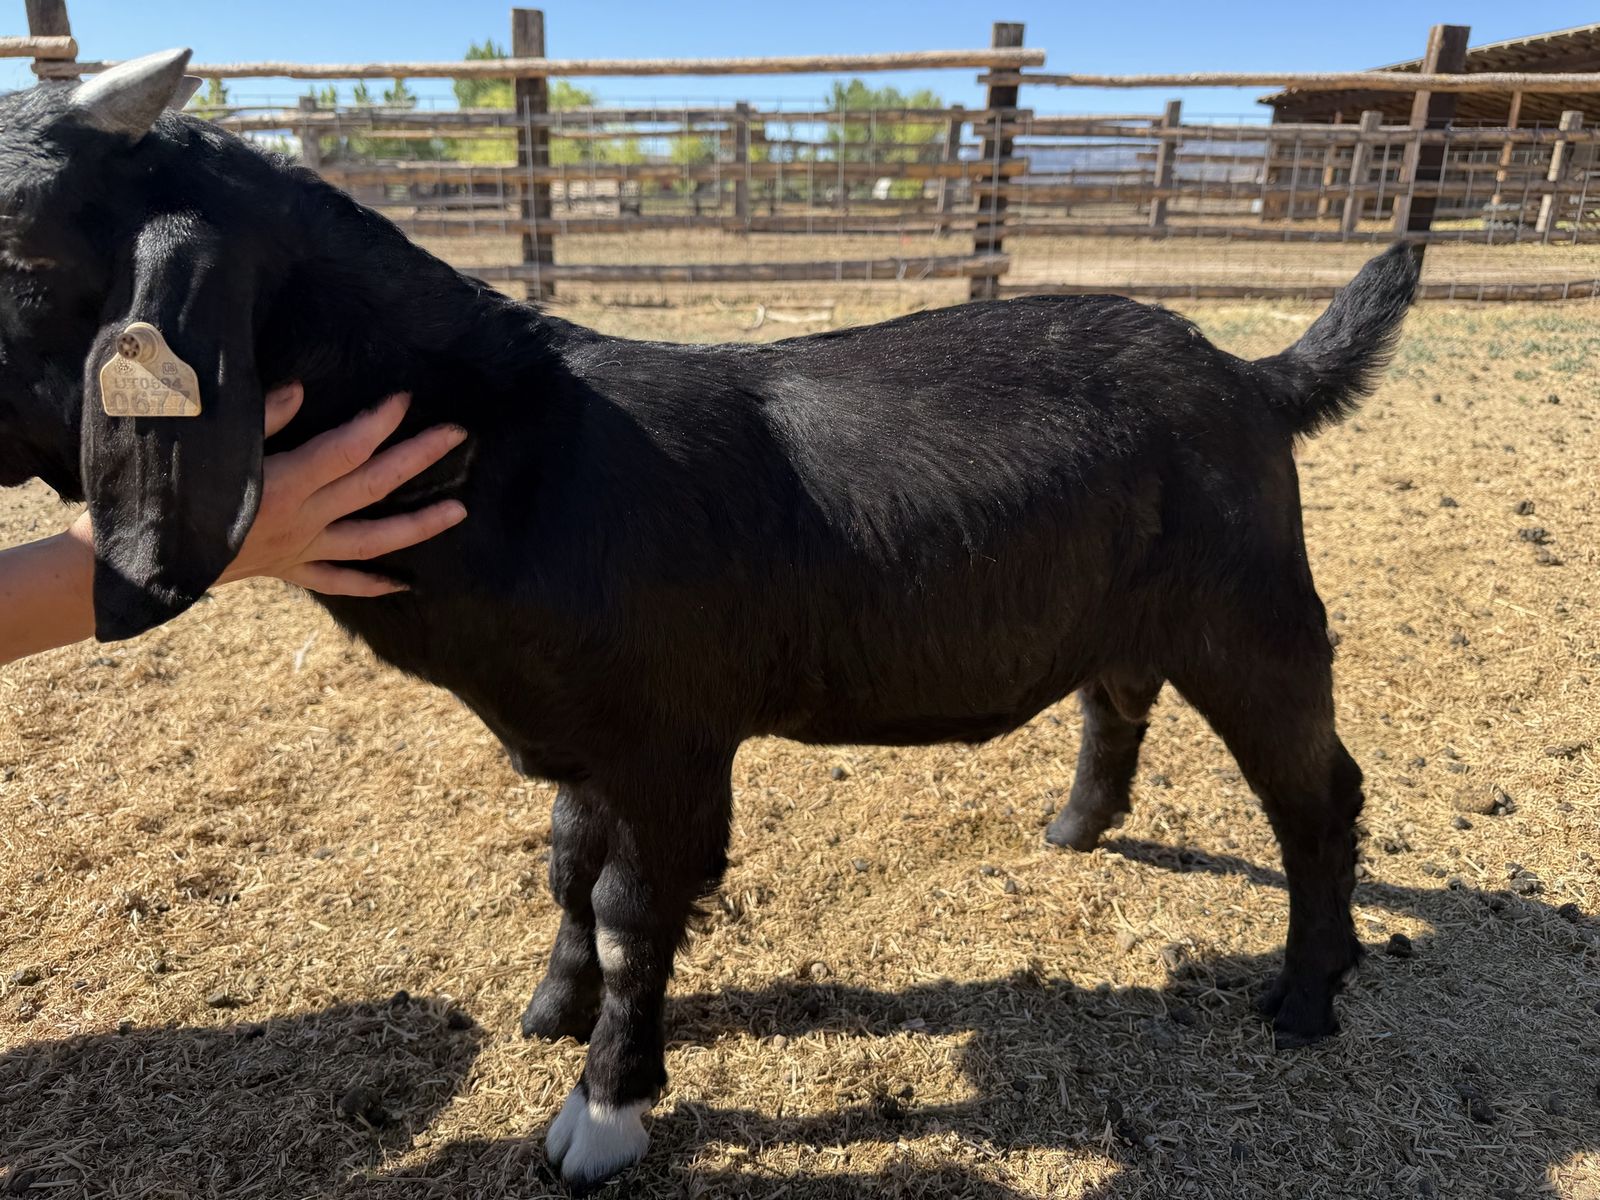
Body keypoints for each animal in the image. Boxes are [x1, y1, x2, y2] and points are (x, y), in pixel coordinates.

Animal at [0, 51, 1420, 1190]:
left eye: (21, 254)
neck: (532, 449)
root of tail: (1249, 373)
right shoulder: (585, 735)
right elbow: (566, 866)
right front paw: (553, 1008)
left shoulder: (673, 739)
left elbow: (635, 906)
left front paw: (604, 1112)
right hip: (1129, 615)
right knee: (1118, 697)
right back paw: (1077, 828)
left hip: (1254, 615)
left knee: (1316, 792)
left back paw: (1307, 993)